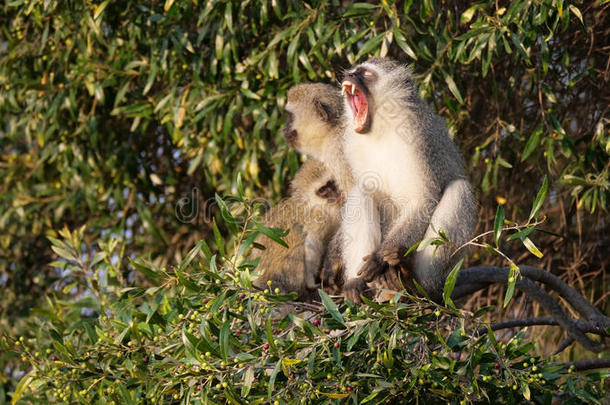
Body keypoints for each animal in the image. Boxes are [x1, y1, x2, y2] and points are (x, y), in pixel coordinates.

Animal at [252, 158, 344, 300]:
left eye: (331, 183)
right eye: (322, 190)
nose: (335, 194)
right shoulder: (318, 219)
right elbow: (312, 245)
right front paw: (312, 283)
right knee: (299, 250)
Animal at [338, 58, 476, 302]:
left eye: (365, 73)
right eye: (352, 71)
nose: (349, 75)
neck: (380, 128)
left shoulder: (418, 135)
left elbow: (423, 200)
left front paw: (379, 257)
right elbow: (366, 190)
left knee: (460, 189)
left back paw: (411, 278)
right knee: (362, 191)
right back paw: (358, 284)